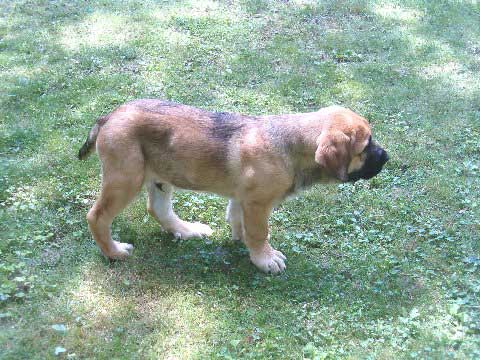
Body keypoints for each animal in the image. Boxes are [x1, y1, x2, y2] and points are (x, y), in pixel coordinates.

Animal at [77, 98, 388, 272]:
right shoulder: (258, 203)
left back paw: (187, 230)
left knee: (158, 209)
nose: (386, 157)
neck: (292, 144)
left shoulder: (243, 197)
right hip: (125, 178)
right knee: (97, 216)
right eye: (366, 145)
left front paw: (241, 241)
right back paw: (114, 252)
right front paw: (264, 259)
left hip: (160, 178)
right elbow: (260, 232)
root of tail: (109, 116)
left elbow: (237, 219)